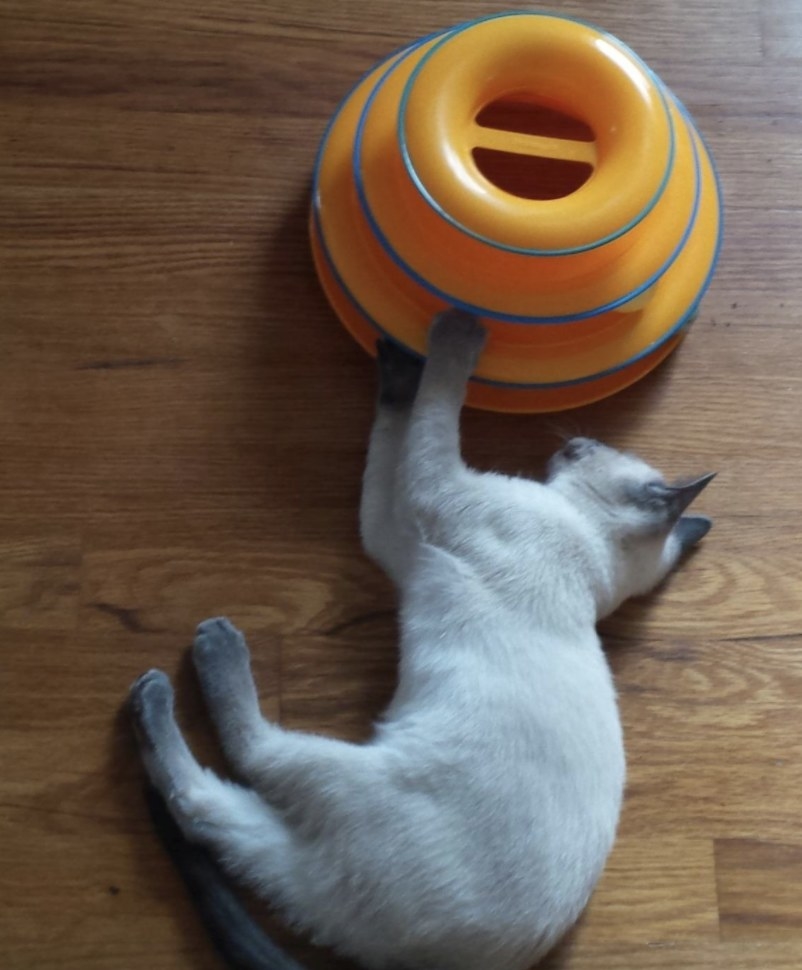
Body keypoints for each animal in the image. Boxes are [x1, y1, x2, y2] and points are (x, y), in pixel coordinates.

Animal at [128, 310, 716, 968]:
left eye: (604, 450)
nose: (577, 441)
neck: (594, 556)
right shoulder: (396, 538)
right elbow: (396, 433)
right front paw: (396, 368)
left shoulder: (433, 496)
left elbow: (437, 408)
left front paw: (457, 332)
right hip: (293, 836)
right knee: (206, 814)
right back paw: (157, 701)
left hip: (346, 774)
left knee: (246, 760)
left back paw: (201, 657)